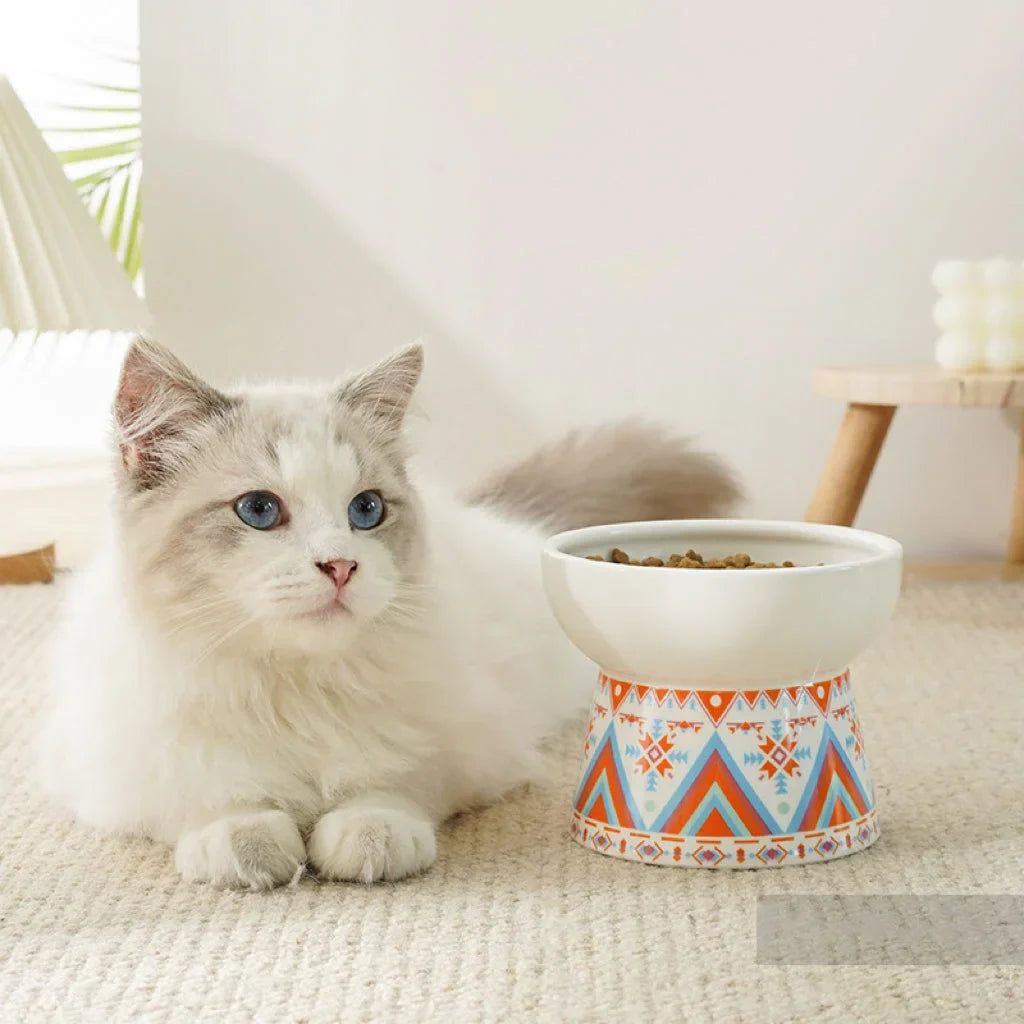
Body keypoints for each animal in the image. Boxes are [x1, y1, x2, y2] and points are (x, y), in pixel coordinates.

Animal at [37, 337, 737, 888]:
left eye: (366, 510)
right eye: (259, 510)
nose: (340, 567)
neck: (295, 689)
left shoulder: (461, 748)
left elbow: (387, 785)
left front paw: (367, 834)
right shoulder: (122, 764)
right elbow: (215, 797)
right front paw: (244, 841)